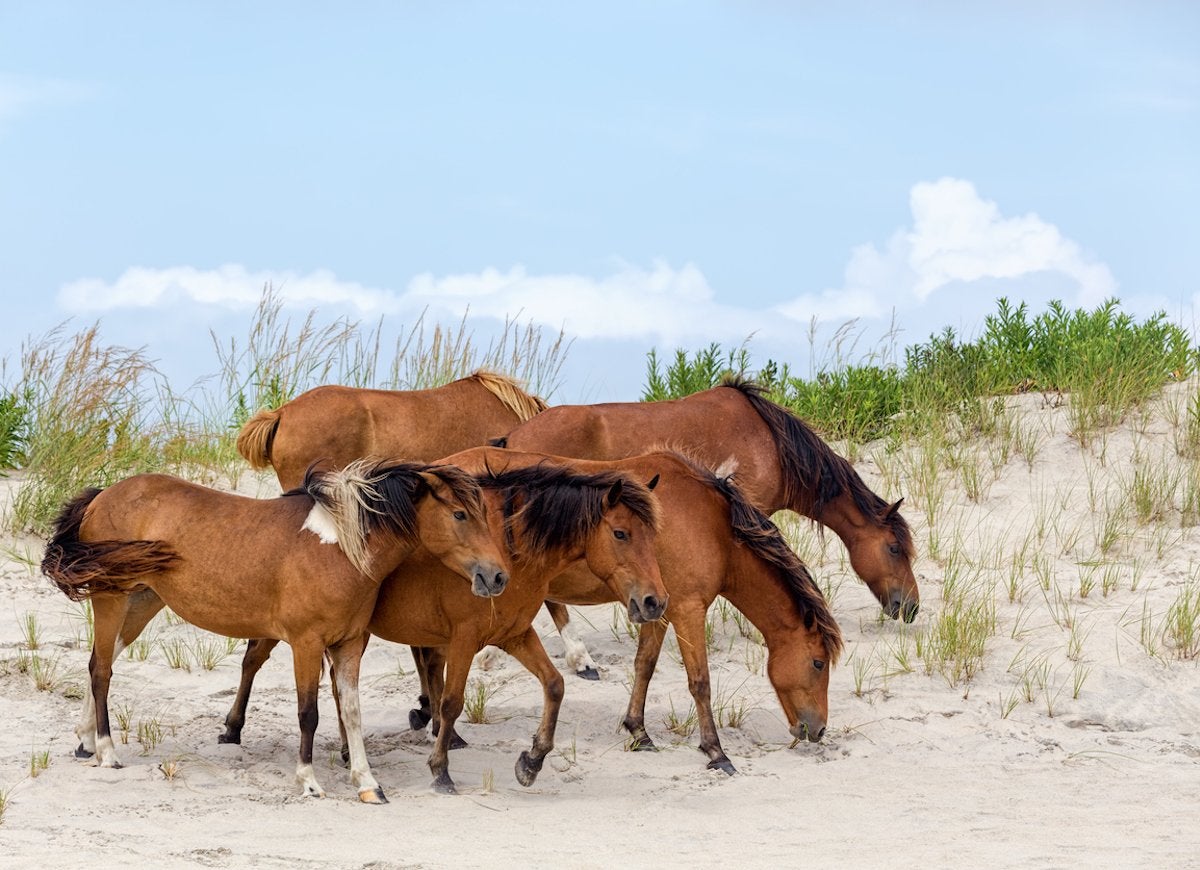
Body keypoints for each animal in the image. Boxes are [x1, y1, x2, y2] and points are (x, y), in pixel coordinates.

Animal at [41, 458, 501, 806]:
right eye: (459, 514)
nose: (496, 576)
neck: (339, 548)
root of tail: (102, 495)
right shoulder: (306, 644)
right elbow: (309, 713)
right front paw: (309, 782)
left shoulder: (350, 645)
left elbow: (351, 713)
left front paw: (368, 784)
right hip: (111, 598)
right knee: (102, 670)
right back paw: (107, 752)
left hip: (142, 601)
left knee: (99, 662)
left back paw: (85, 741)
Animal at [222, 451, 672, 796]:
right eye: (620, 533)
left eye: (654, 537)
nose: (655, 601)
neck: (511, 551)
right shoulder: (464, 639)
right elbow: (452, 702)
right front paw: (440, 770)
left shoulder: (514, 635)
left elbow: (555, 685)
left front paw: (531, 762)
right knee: (253, 659)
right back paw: (232, 729)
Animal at [412, 451, 844, 768]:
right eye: (818, 663)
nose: (819, 729)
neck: (712, 524)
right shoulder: (687, 610)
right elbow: (700, 682)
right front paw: (716, 752)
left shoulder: (659, 607)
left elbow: (645, 666)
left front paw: (639, 731)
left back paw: (431, 718)